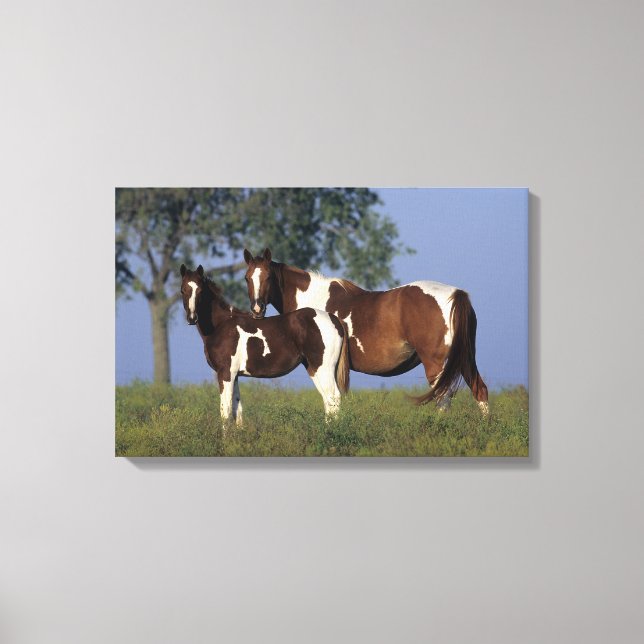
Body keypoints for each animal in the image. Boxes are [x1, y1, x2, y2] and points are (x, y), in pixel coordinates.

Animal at [179, 264, 350, 428]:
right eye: (183, 290)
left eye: (200, 290)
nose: (192, 318)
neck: (221, 325)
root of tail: (334, 319)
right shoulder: (234, 375)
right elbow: (237, 410)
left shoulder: (225, 373)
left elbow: (225, 412)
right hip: (314, 369)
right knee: (328, 400)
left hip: (324, 368)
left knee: (333, 397)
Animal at [242, 248, 489, 415]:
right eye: (247, 277)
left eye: (268, 277)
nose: (257, 309)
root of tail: (456, 295)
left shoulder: (319, 365)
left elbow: (330, 400)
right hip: (464, 359)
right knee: (480, 391)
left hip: (437, 365)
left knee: (443, 400)